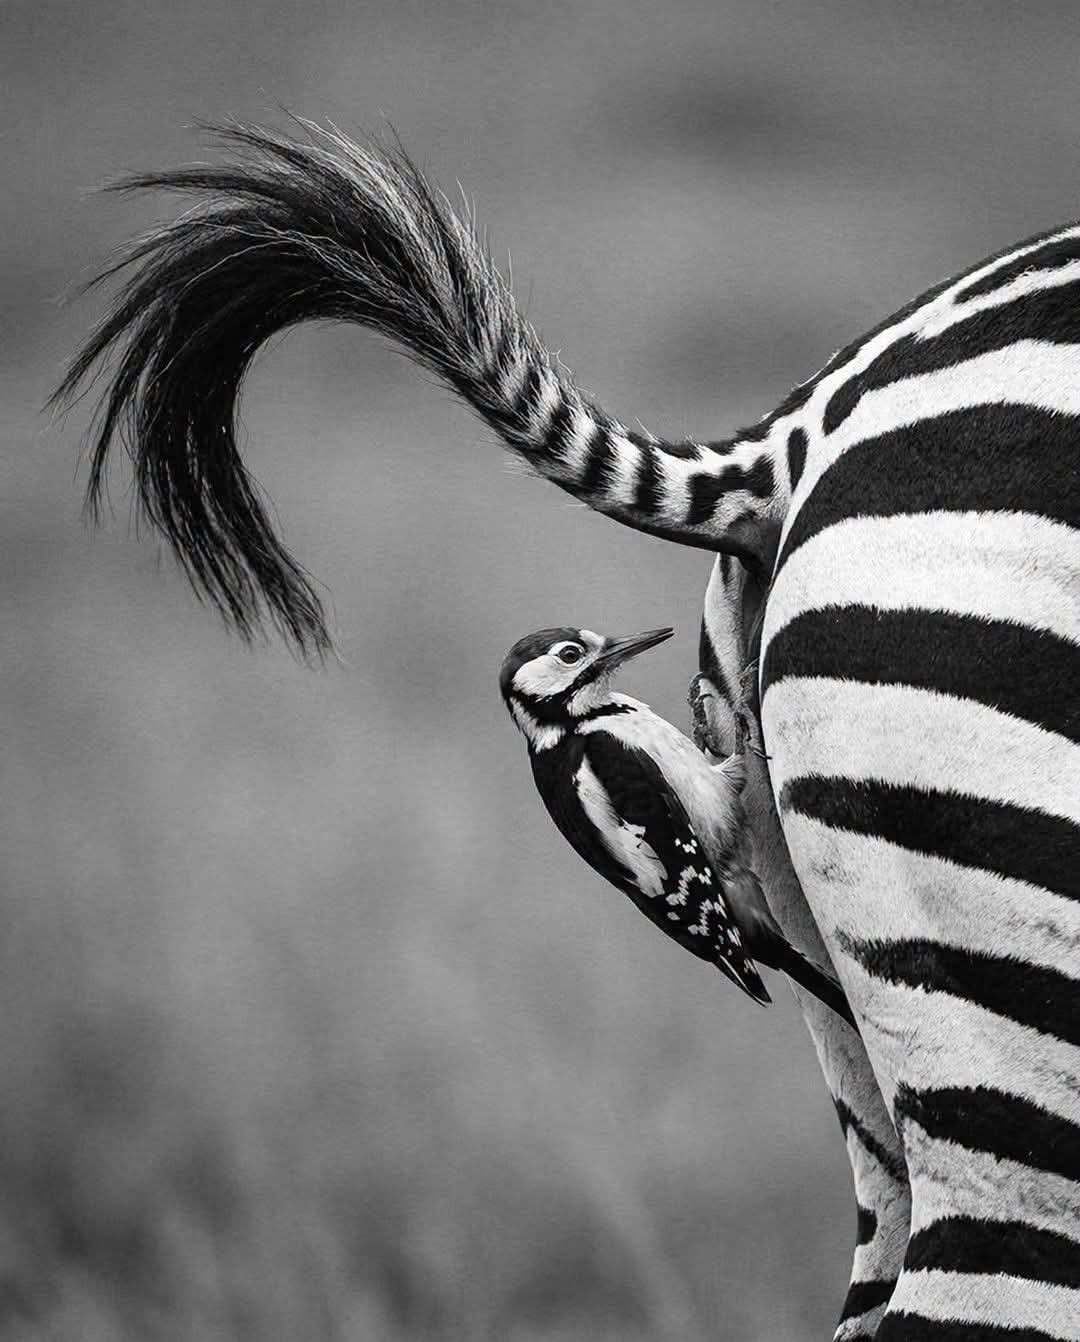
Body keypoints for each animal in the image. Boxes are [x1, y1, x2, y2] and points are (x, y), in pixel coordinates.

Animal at [54, 122, 1080, 1339]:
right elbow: (707, 787)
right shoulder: (652, 797)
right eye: (575, 654)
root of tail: (792, 436)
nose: (636, 646)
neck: (558, 735)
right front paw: (716, 740)